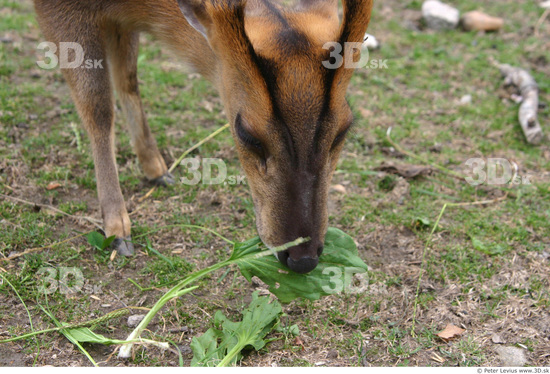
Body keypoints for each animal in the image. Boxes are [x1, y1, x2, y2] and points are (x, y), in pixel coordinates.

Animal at [33, 0, 376, 274]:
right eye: (247, 134)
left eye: (344, 128)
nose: (303, 258)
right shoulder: (59, 10)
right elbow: (98, 108)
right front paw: (118, 230)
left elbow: (127, 79)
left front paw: (157, 170)